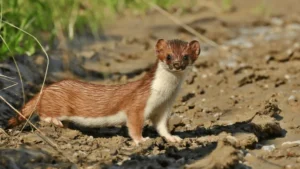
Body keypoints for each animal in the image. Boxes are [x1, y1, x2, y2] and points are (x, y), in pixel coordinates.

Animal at [6, 39, 199, 145]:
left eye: (186, 56)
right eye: (168, 55)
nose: (177, 64)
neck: (164, 93)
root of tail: (46, 88)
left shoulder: (164, 107)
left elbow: (161, 127)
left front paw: (173, 138)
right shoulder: (138, 103)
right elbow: (134, 125)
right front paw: (141, 140)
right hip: (56, 103)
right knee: (42, 113)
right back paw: (55, 121)